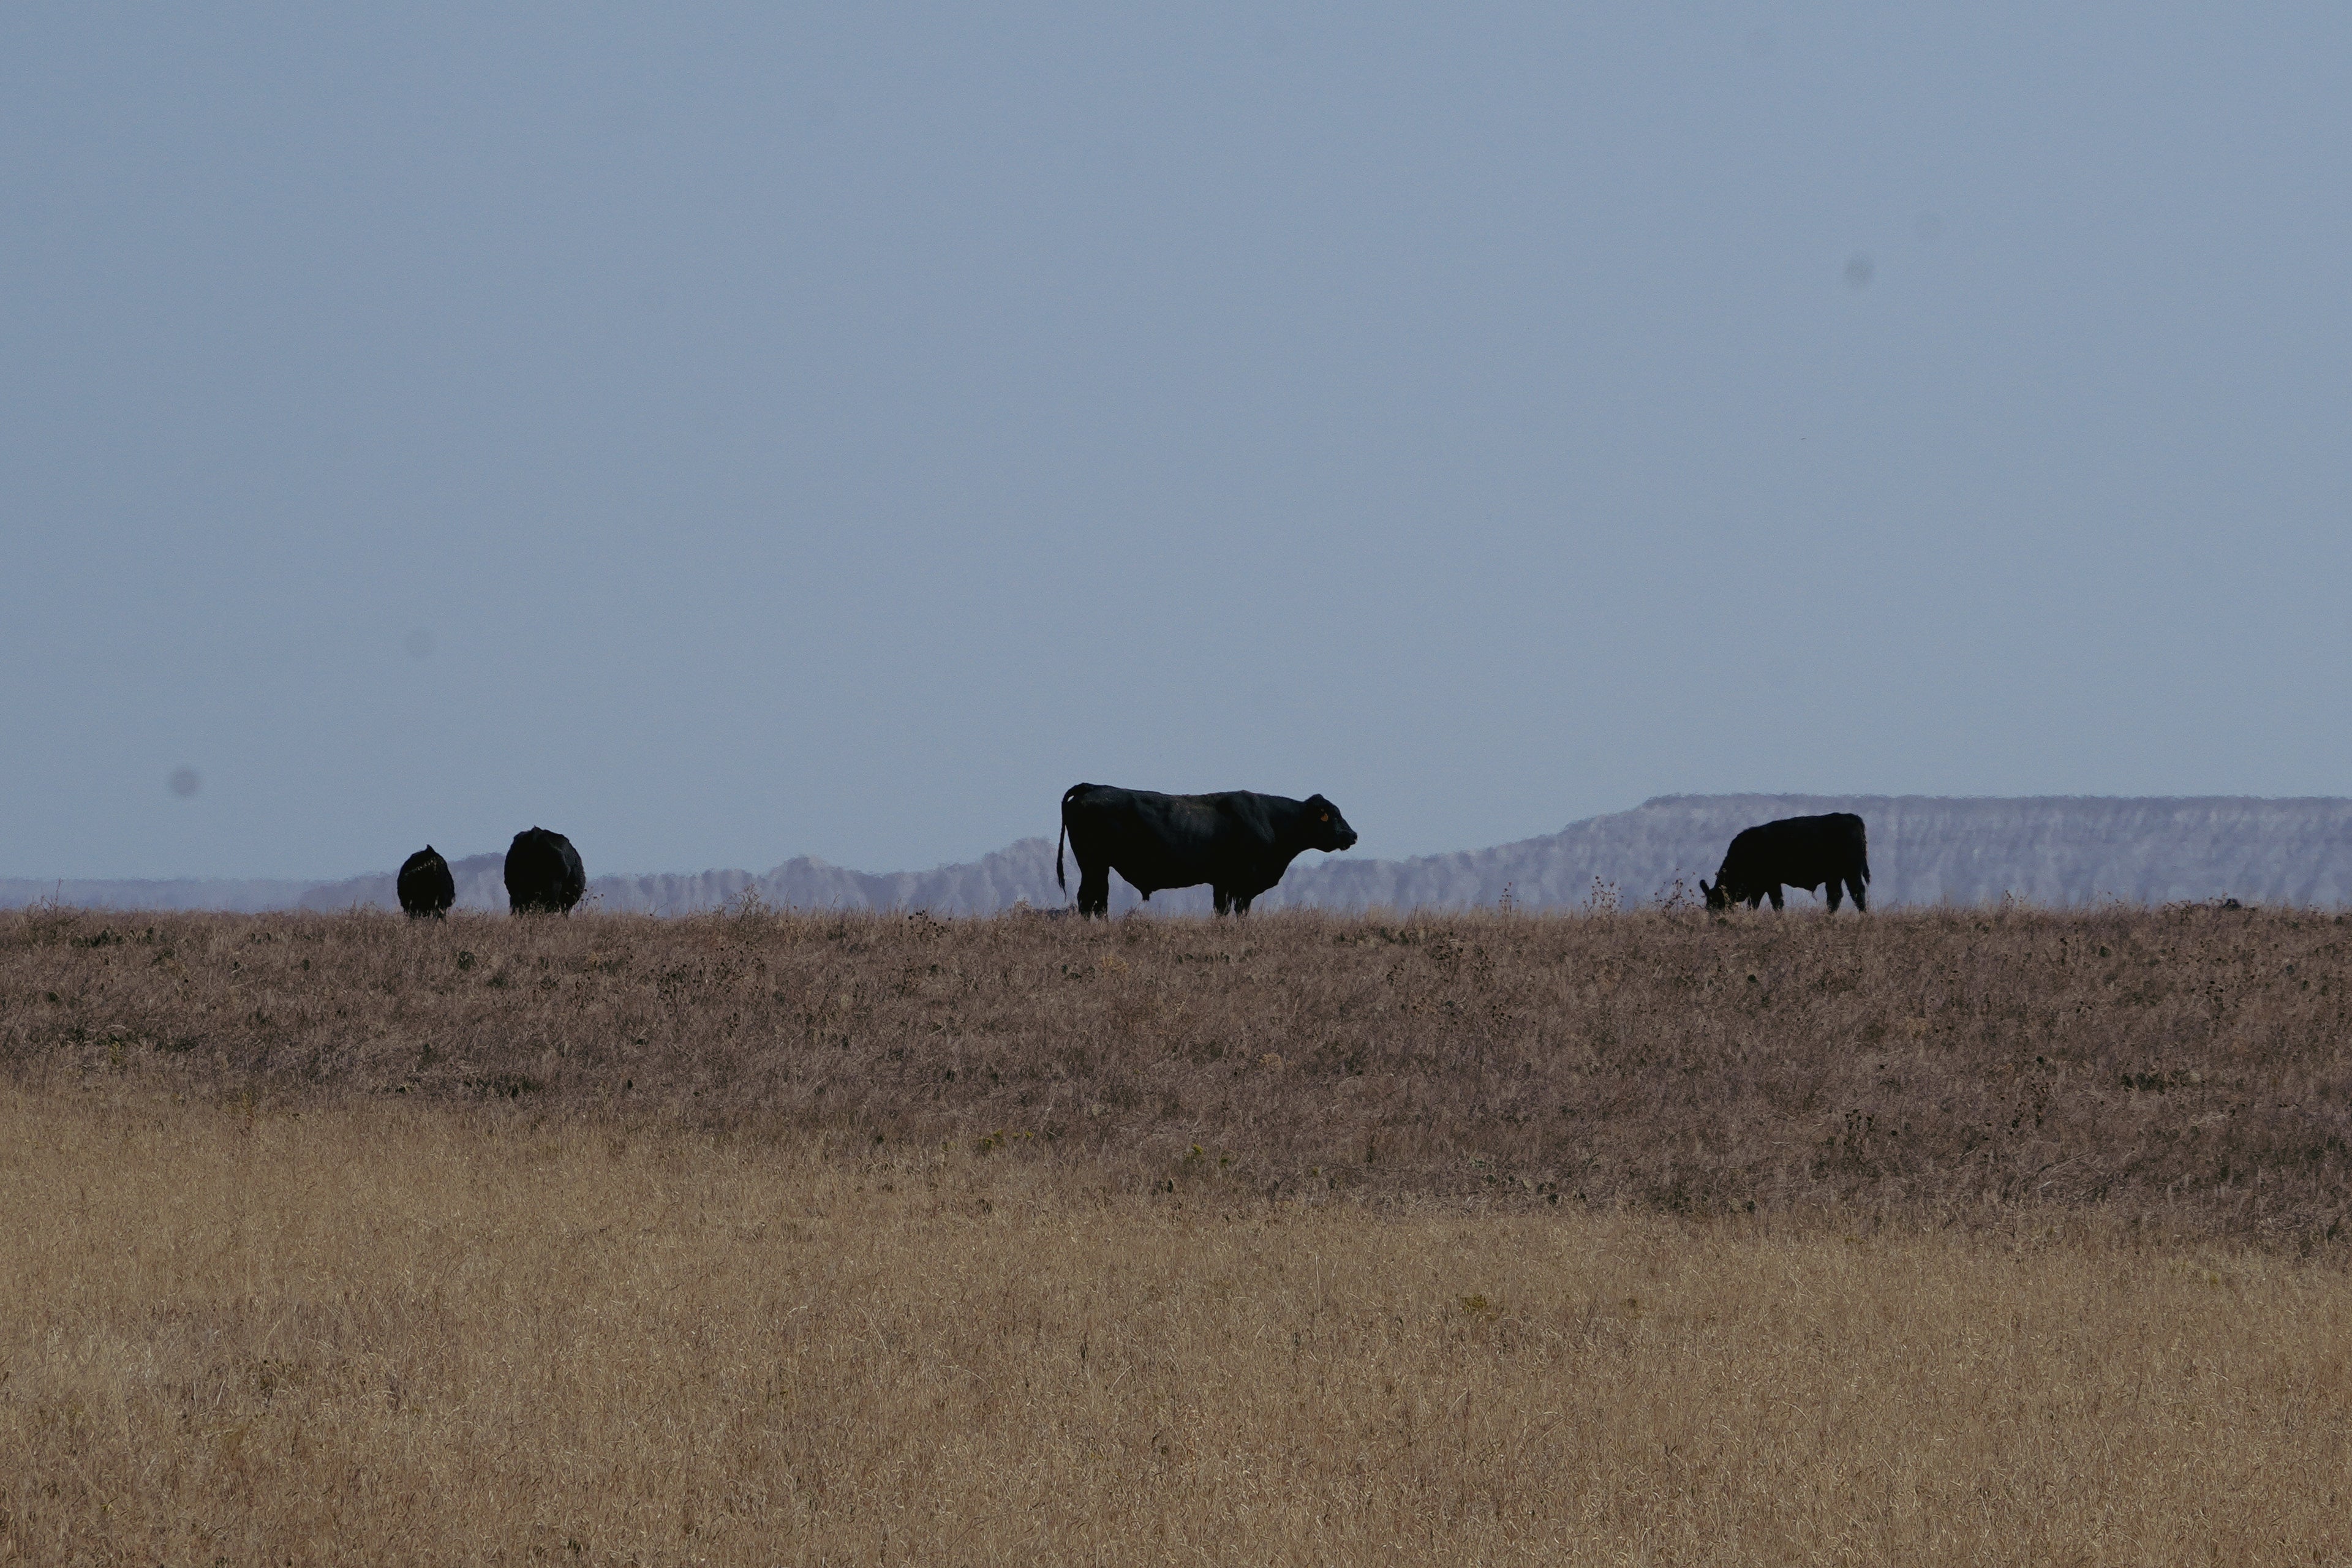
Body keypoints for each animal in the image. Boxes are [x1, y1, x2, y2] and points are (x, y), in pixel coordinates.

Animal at [1056, 783, 1358, 918]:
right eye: (1330, 815)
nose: (1353, 835)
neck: (1272, 820)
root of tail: (1092, 788)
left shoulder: (1222, 882)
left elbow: (1222, 910)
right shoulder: (1242, 882)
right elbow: (1239, 911)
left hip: (1099, 867)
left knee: (1098, 900)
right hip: (1093, 864)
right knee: (1089, 900)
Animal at [1701, 812, 1870, 913]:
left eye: (1716, 905)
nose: (1714, 923)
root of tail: (1852, 817)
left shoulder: (1769, 883)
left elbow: (1774, 903)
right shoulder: (1763, 886)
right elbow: (1758, 904)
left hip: (1851, 873)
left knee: (1857, 893)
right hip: (1835, 877)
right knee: (1835, 897)